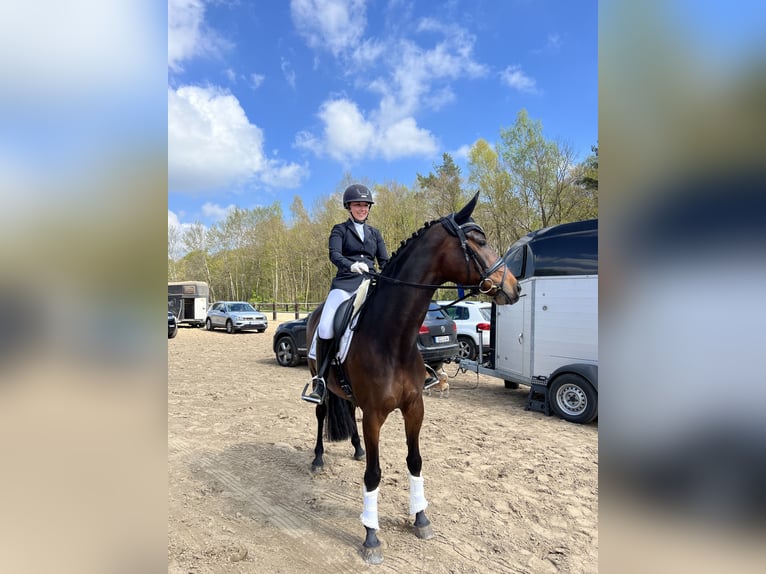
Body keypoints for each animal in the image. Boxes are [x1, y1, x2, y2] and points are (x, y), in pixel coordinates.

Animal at [305, 192, 520, 564]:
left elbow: (415, 461)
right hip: (318, 383)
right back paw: (319, 458)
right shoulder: (375, 415)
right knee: (321, 414)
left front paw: (420, 517)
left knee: (348, 410)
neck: (393, 337)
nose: (514, 286)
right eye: (478, 241)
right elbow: (374, 474)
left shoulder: (414, 407)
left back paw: (357, 449)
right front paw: (371, 536)